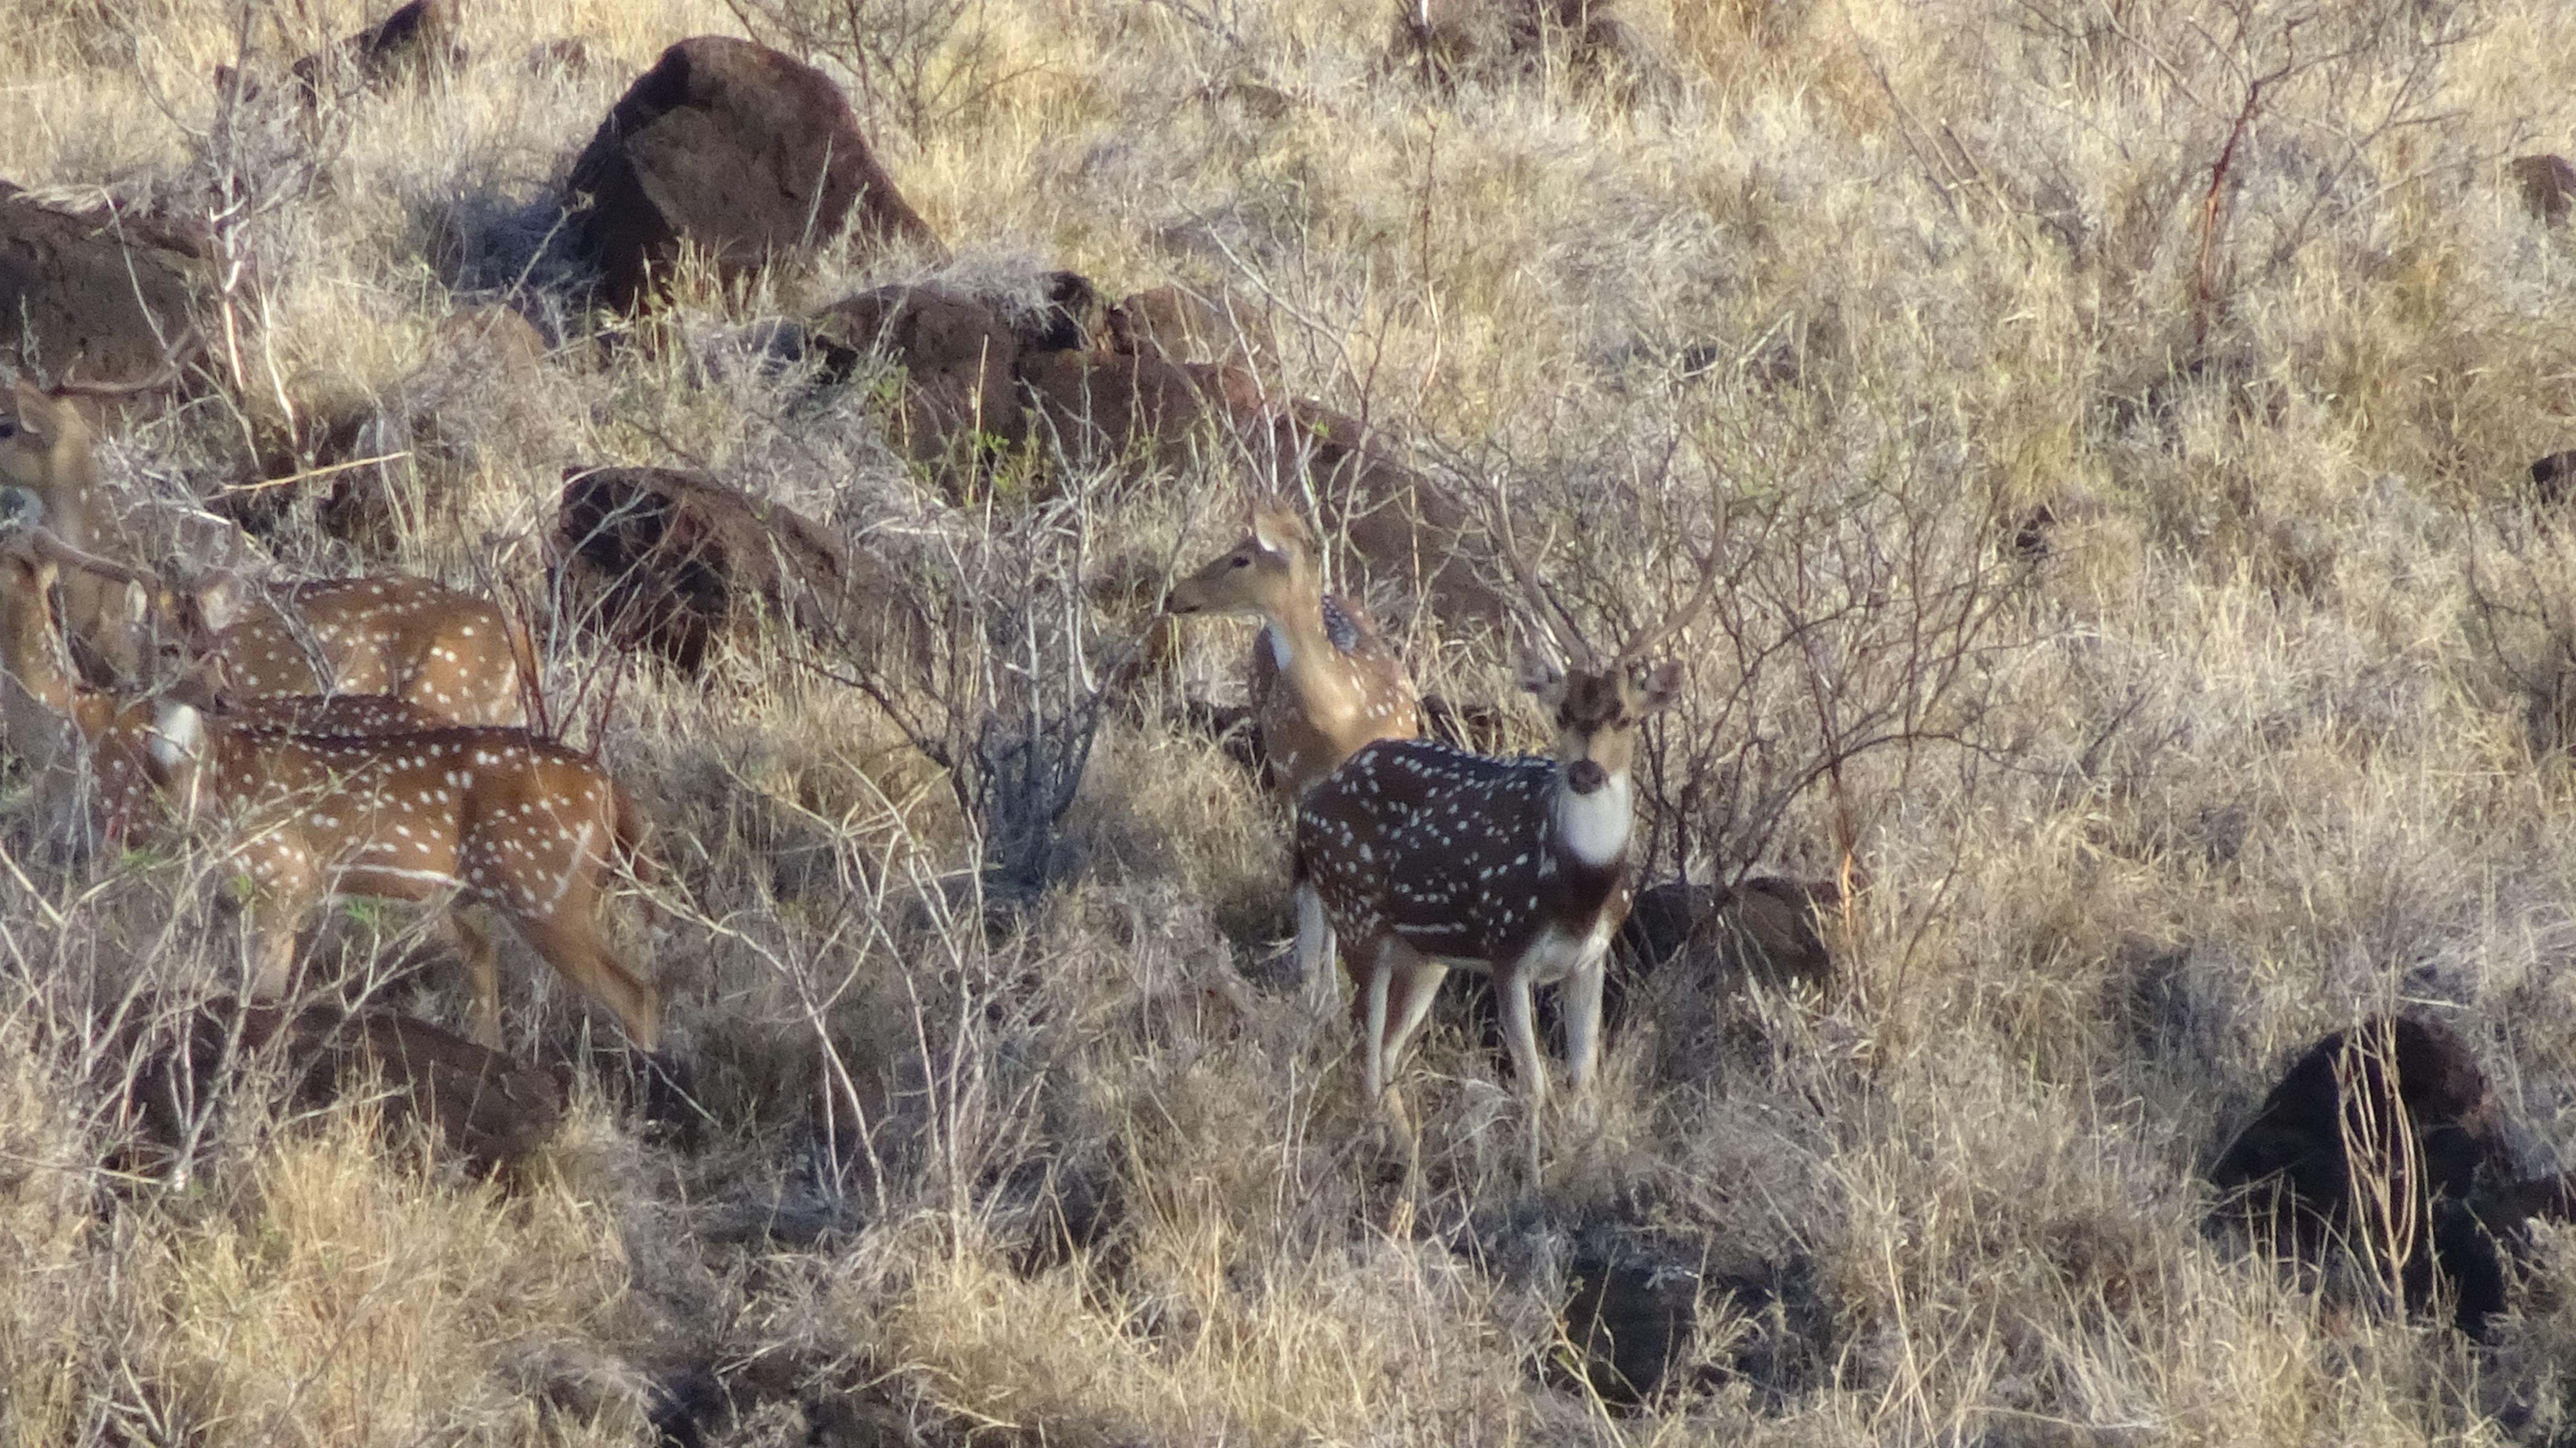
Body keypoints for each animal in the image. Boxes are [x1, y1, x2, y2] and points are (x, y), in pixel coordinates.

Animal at [0, 525, 661, 1052]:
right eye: (168, 647)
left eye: (212, 650)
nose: (222, 697)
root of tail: (611, 790)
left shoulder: (277, 874)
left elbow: (259, 997)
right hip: (458, 889)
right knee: (487, 951)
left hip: (544, 888)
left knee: (635, 993)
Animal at [1165, 497, 1423, 989]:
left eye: (1241, 559)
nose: (1174, 596)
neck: (1343, 717)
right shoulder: (1295, 781)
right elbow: (1312, 891)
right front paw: (1314, 983)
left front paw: (1328, 988)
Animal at [1293, 522, 1719, 1115]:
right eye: (1562, 712)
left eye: (1627, 718)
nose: (1586, 772)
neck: (1578, 892)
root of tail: (1307, 813)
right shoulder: (1506, 949)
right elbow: (1534, 1086)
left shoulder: (1590, 959)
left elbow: (1583, 1082)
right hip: (1359, 913)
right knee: (1365, 1050)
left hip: (1425, 953)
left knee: (1388, 1051)